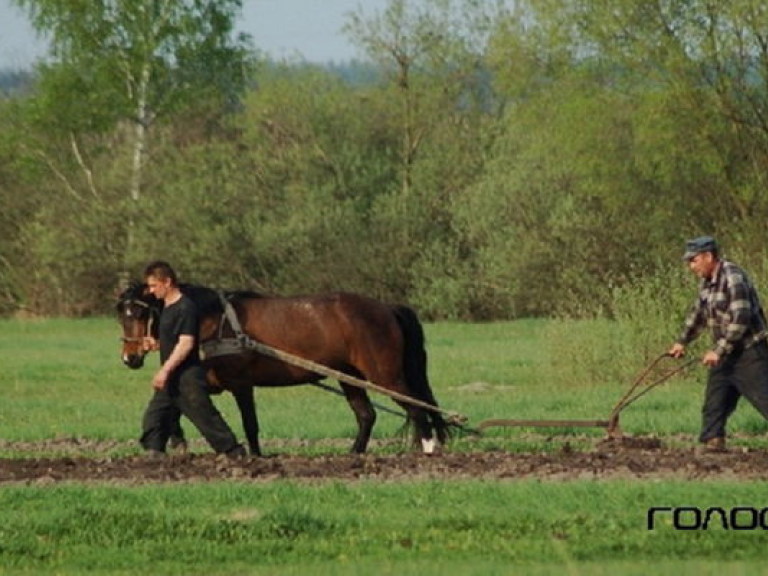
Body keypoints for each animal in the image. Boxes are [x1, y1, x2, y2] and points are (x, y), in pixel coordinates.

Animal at [115, 282, 450, 456]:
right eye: (121, 314)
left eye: (140, 313)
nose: (130, 358)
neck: (215, 322)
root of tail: (386, 308)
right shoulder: (210, 380)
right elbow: (176, 404)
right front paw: (175, 440)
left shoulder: (240, 383)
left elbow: (250, 423)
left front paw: (255, 456)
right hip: (350, 378)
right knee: (367, 415)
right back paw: (354, 455)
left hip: (385, 375)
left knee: (415, 407)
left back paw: (428, 450)